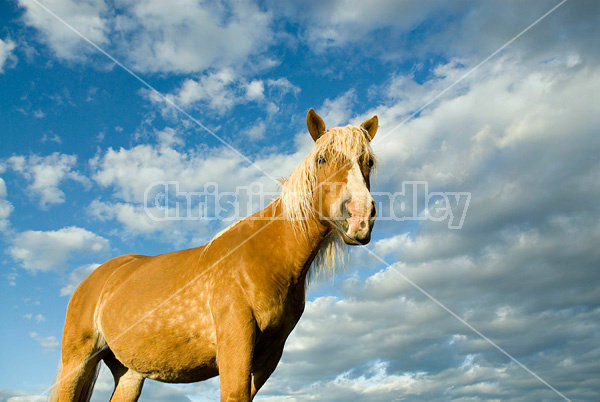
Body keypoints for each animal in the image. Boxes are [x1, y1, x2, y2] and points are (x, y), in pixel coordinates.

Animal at [52, 108, 380, 400]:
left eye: (368, 162)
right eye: (322, 159)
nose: (359, 216)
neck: (265, 258)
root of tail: (98, 277)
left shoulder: (268, 358)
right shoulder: (235, 343)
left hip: (129, 372)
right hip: (77, 361)